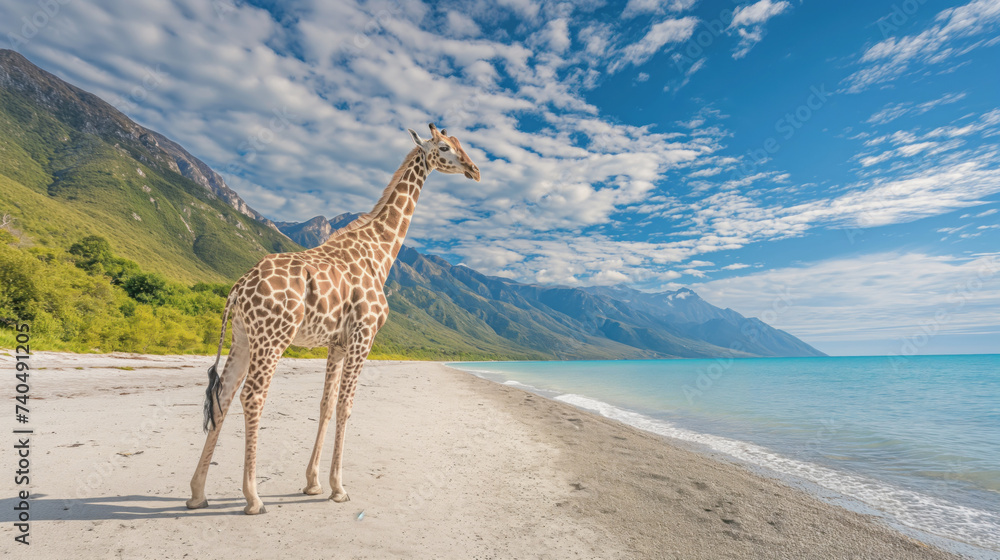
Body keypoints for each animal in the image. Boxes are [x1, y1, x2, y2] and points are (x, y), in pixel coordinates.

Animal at [186, 123, 480, 515]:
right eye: (445, 147)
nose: (474, 170)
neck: (380, 251)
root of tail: (238, 287)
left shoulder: (336, 343)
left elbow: (325, 405)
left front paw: (312, 482)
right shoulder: (363, 335)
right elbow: (345, 407)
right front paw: (338, 487)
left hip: (243, 338)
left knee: (223, 395)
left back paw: (197, 493)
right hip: (272, 338)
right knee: (253, 396)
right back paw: (252, 497)